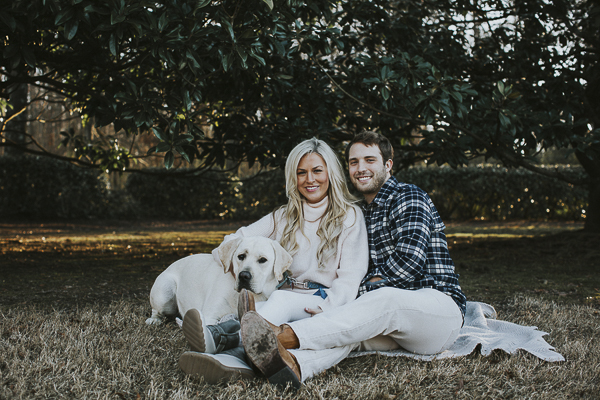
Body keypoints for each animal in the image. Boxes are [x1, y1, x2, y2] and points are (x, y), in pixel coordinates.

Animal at [148, 238, 292, 324]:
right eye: (241, 256)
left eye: (263, 260)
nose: (244, 276)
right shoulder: (209, 317)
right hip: (165, 291)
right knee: (156, 310)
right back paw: (154, 320)